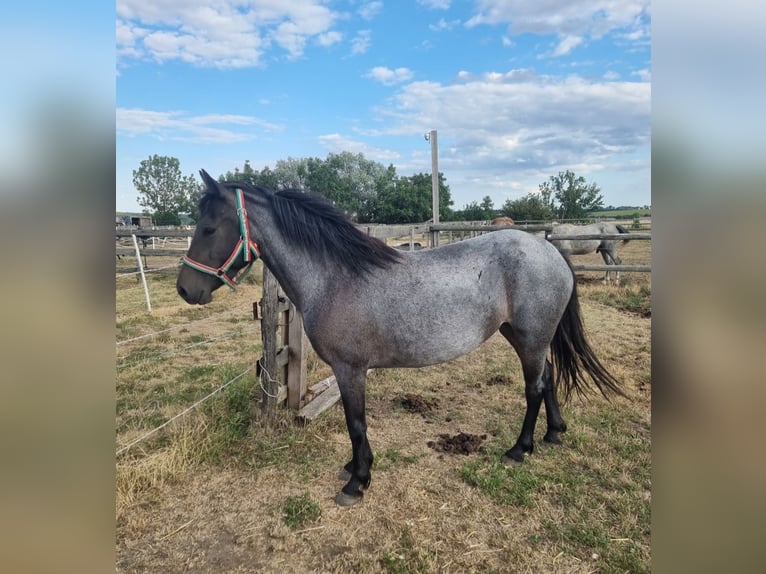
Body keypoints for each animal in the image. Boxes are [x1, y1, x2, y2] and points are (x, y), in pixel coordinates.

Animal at [177, 170, 623, 507]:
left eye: (209, 228)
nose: (185, 289)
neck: (334, 277)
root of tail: (548, 250)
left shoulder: (350, 369)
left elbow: (356, 423)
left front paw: (357, 481)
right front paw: (354, 469)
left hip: (530, 337)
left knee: (534, 388)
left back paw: (520, 449)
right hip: (524, 336)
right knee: (547, 378)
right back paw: (554, 433)